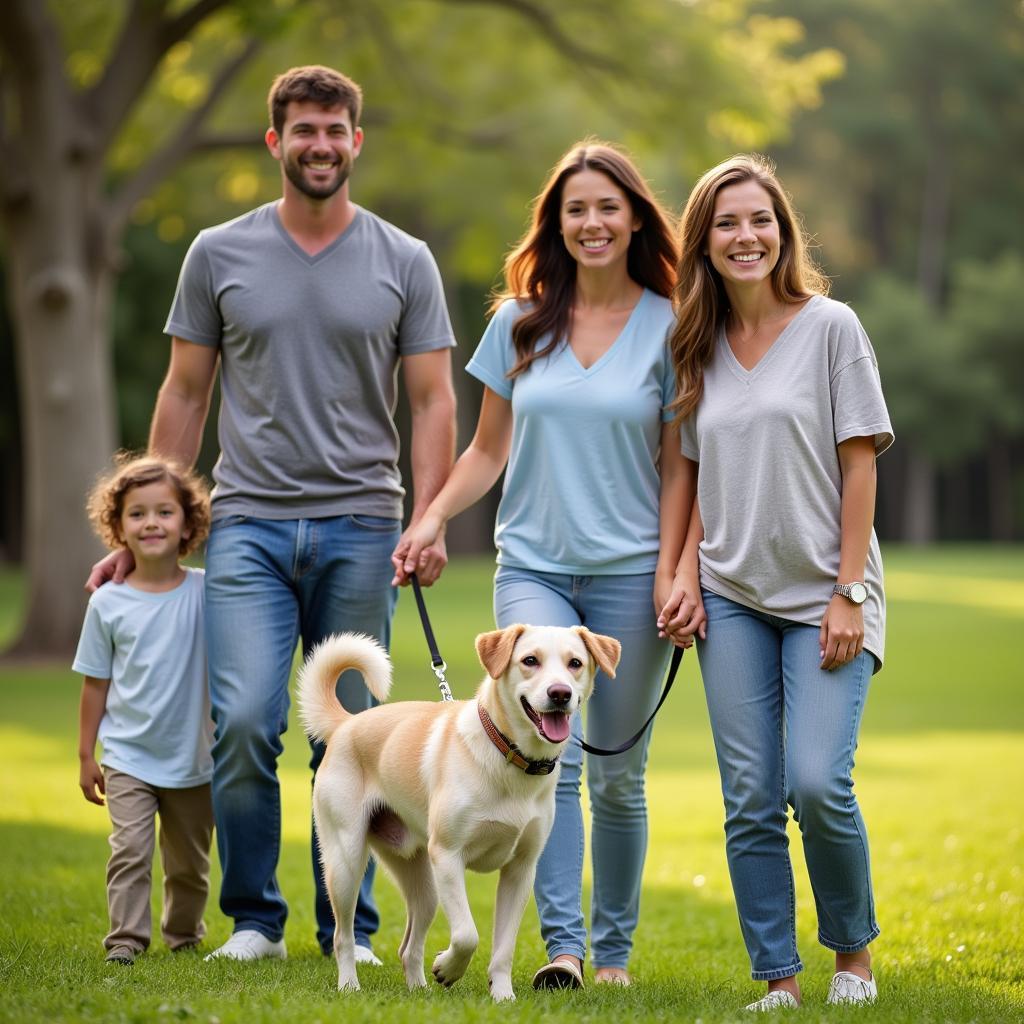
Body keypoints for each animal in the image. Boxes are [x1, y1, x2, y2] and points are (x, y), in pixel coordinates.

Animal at [292, 622, 618, 999]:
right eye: (530, 660)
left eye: (575, 663)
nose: (560, 693)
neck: (509, 756)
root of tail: (346, 724)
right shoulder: (448, 856)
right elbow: (467, 935)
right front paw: (448, 968)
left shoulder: (521, 870)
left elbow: (503, 948)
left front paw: (503, 996)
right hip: (347, 863)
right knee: (341, 936)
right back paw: (349, 986)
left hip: (424, 885)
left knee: (408, 947)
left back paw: (418, 990)